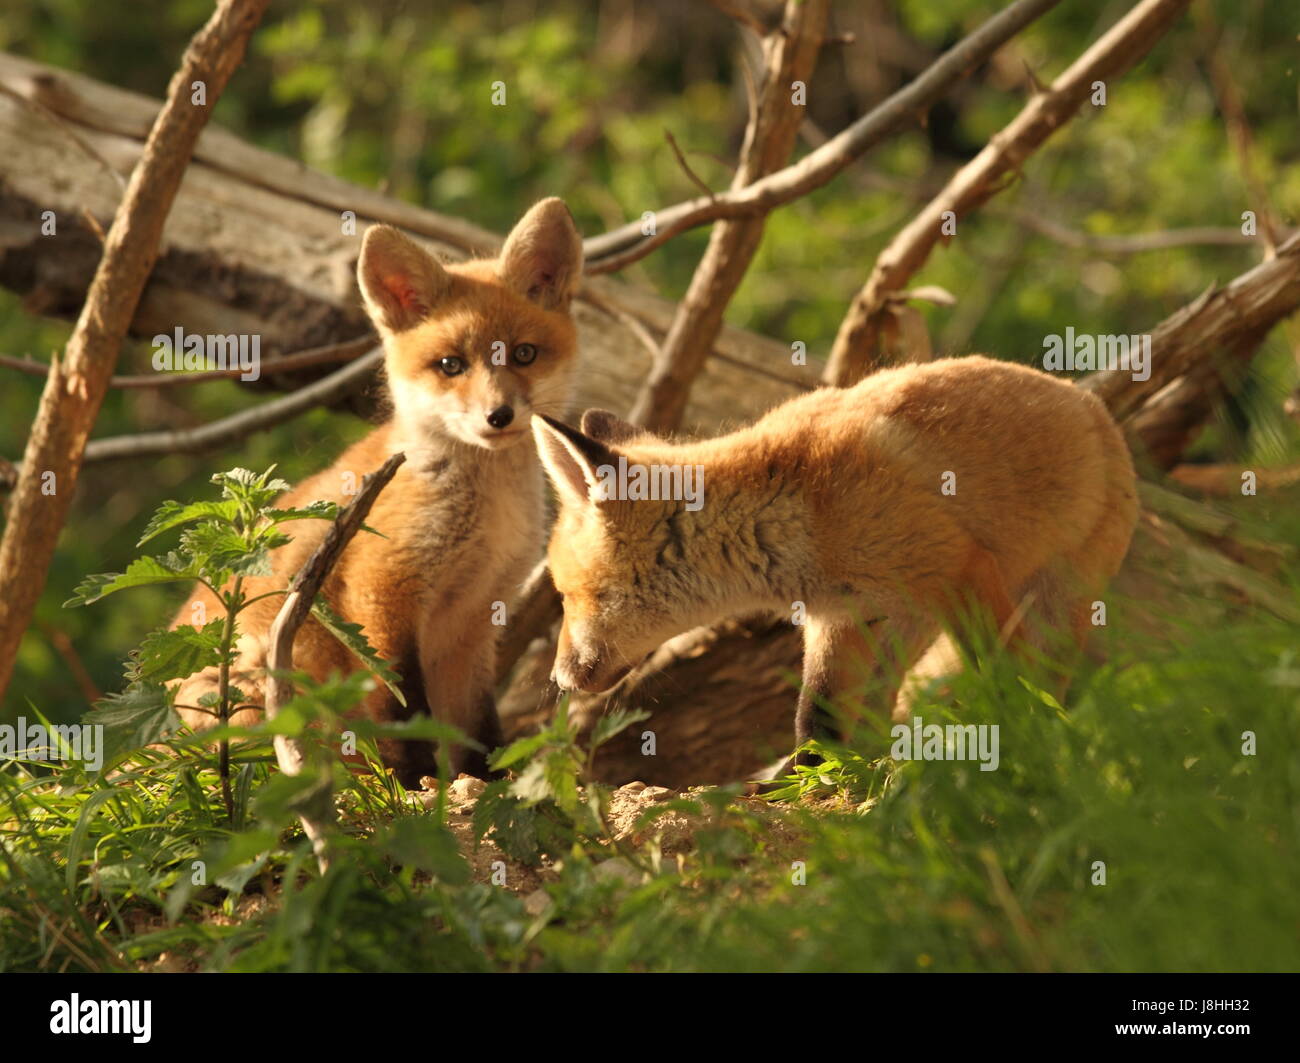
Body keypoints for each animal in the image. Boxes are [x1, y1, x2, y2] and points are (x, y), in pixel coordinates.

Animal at [171, 198, 585, 784]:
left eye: (524, 354)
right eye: (451, 365)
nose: (498, 415)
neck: (489, 516)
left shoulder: (475, 620)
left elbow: (477, 726)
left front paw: (487, 783)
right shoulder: (380, 591)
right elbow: (401, 707)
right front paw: (415, 785)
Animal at [527, 356, 1138, 769]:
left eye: (569, 597)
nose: (558, 678)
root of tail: (1088, 401)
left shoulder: (959, 568)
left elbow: (1005, 681)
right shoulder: (837, 617)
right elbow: (815, 719)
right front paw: (808, 788)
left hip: (1050, 604)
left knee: (1043, 680)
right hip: (907, 623)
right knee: (881, 706)